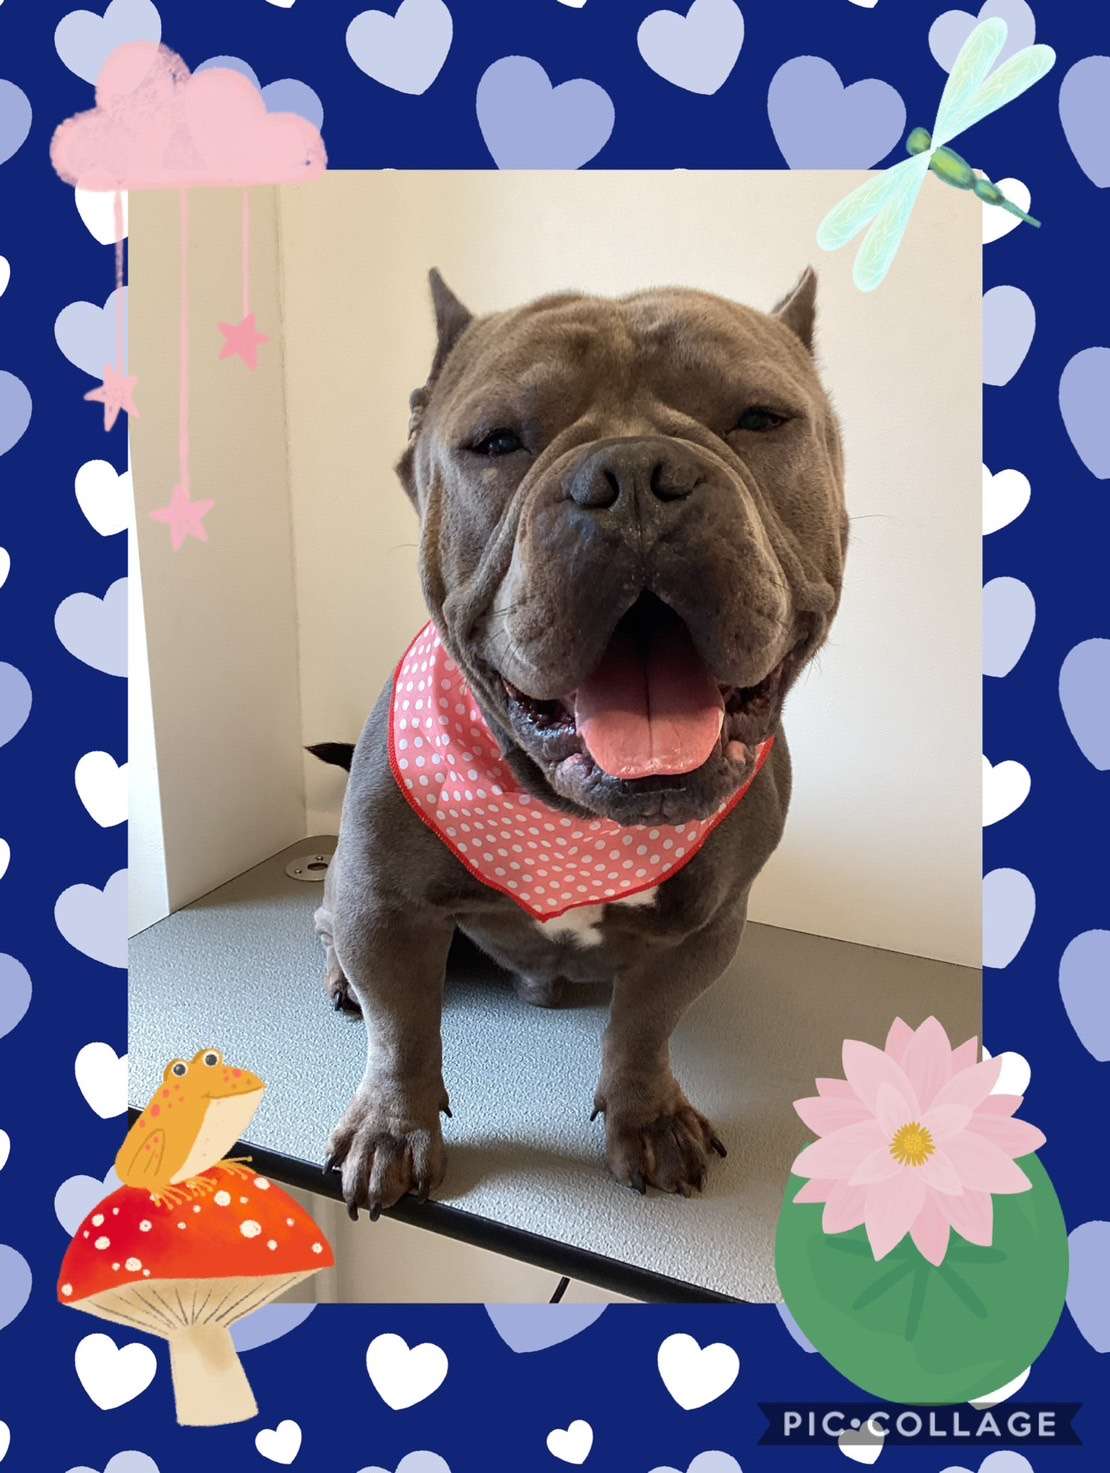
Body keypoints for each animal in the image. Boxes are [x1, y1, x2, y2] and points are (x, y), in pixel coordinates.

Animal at [316, 268, 847, 1217]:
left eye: (760, 418)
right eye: (496, 441)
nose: (635, 474)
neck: (576, 815)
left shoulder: (705, 926)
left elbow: (645, 1024)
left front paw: (647, 1117)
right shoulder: (383, 903)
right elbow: (401, 1026)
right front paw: (393, 1128)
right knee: (332, 928)